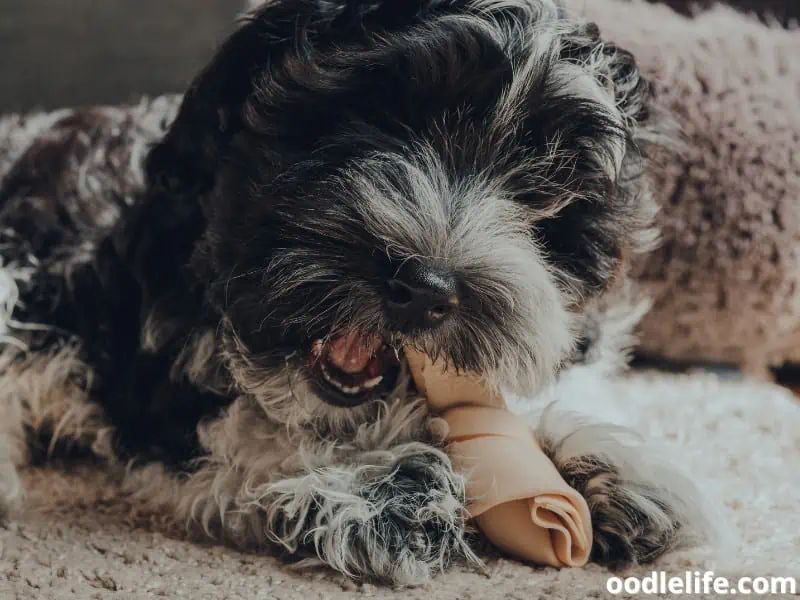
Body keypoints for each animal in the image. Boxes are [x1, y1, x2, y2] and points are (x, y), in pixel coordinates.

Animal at [0, 0, 720, 584]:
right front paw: (377, 487)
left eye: (543, 186)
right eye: (377, 119)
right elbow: (240, 427)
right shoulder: (142, 355)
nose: (426, 288)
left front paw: (613, 462)